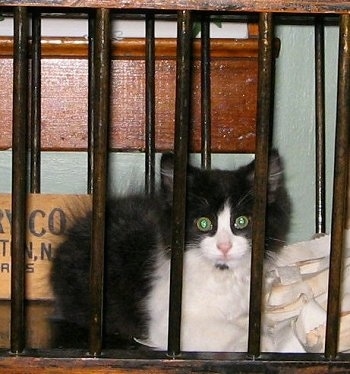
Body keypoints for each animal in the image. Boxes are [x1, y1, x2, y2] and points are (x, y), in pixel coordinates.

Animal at [50, 150, 292, 352]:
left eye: (241, 221)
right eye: (203, 223)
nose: (224, 246)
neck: (221, 273)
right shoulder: (167, 324)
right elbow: (221, 330)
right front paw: (263, 343)